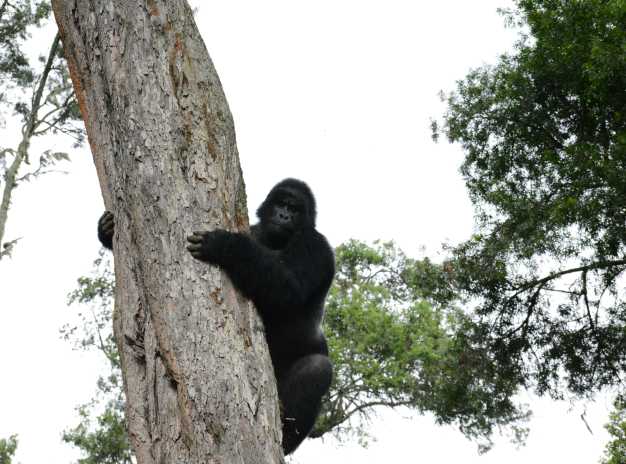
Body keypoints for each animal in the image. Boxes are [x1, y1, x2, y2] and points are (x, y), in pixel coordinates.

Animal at [96, 179, 332, 454]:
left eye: (294, 209)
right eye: (280, 204)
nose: (283, 216)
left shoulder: (315, 244)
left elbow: (288, 288)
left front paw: (227, 246)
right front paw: (106, 231)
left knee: (319, 368)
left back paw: (284, 434)